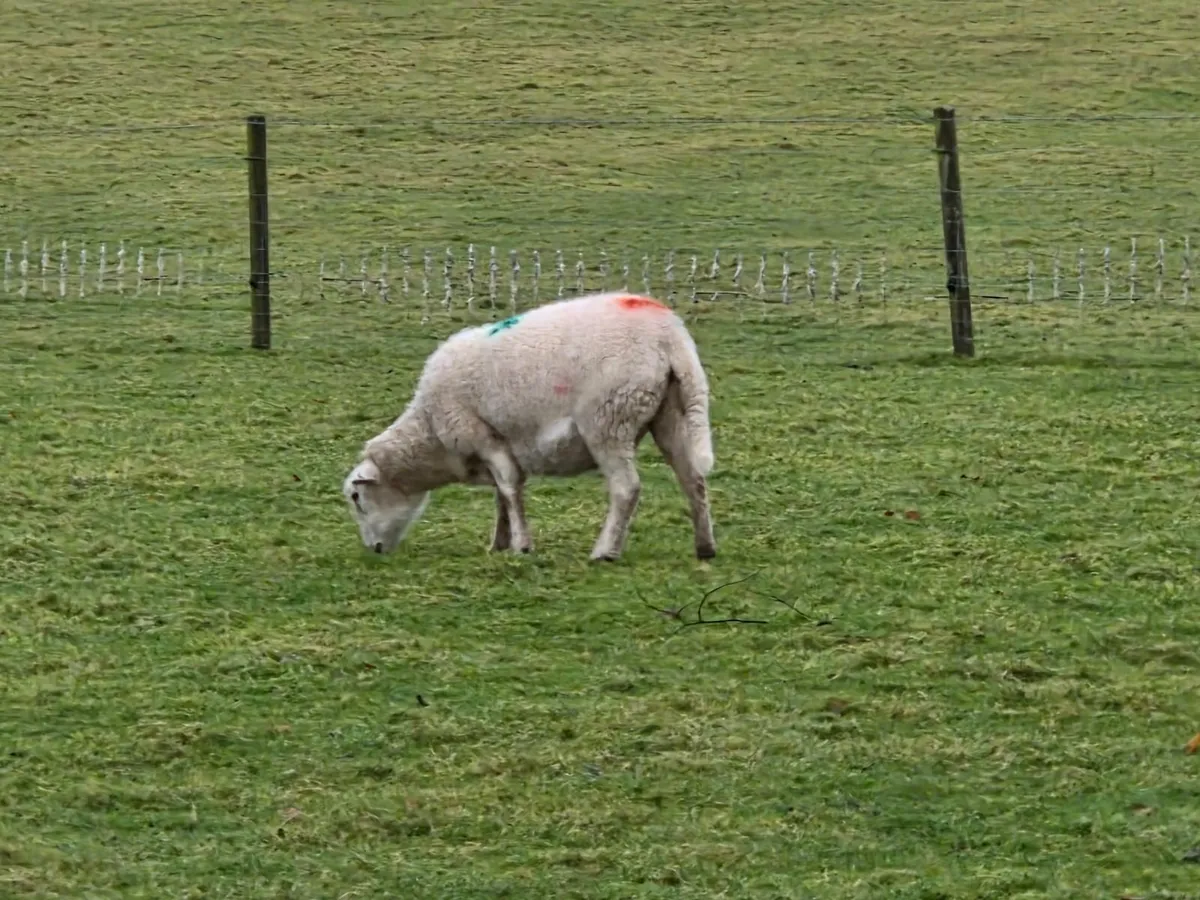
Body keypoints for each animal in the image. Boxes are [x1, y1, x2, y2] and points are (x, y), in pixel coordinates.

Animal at [342, 289, 716, 562]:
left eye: (357, 498)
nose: (373, 550)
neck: (431, 434)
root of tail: (670, 335)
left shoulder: (482, 434)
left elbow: (508, 488)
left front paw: (520, 545)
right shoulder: (497, 445)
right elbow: (501, 496)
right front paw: (499, 542)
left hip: (608, 418)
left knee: (627, 488)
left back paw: (605, 551)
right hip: (670, 413)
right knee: (693, 480)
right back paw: (705, 548)